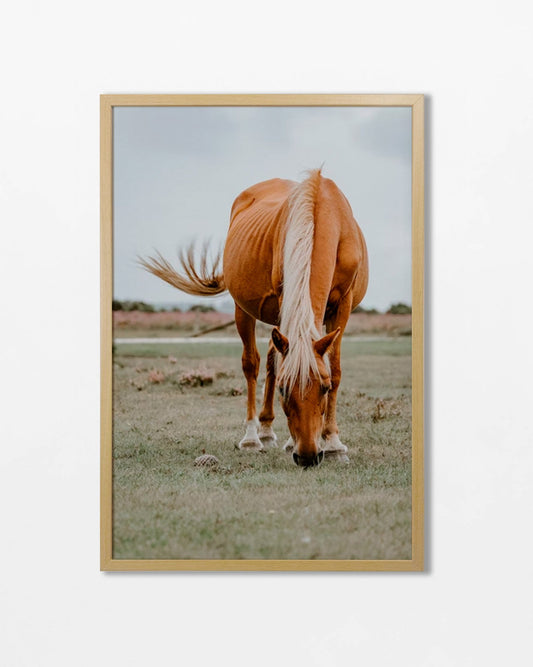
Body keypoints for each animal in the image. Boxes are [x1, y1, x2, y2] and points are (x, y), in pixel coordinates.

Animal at [141, 169, 368, 468]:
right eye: (283, 389)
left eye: (325, 387)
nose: (307, 456)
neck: (322, 214)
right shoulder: (285, 296)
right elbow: (273, 365)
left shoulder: (342, 305)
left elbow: (336, 369)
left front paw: (333, 444)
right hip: (244, 309)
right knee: (254, 364)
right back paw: (254, 436)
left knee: (273, 355)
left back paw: (275, 434)